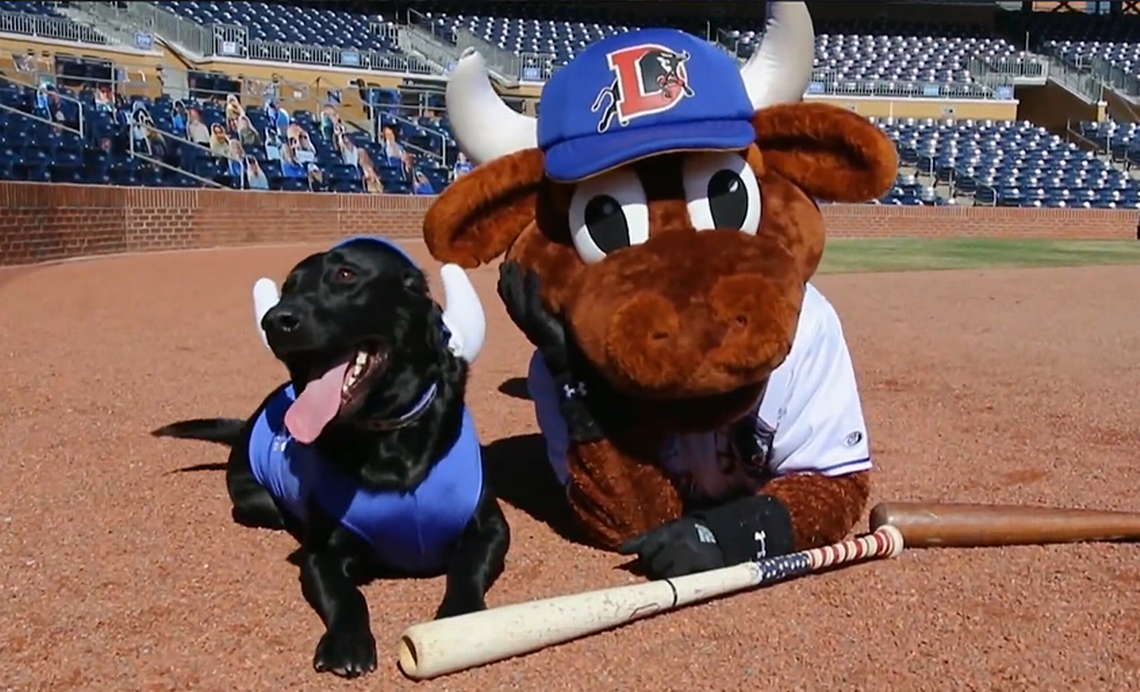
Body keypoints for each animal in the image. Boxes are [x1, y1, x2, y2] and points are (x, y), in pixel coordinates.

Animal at [151, 235, 508, 679]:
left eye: (346, 274)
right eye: (288, 287)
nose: (275, 320)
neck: (388, 438)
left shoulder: (490, 529)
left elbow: (466, 569)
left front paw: (459, 618)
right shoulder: (321, 553)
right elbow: (345, 596)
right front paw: (346, 643)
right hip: (254, 500)